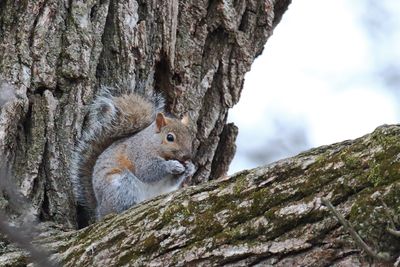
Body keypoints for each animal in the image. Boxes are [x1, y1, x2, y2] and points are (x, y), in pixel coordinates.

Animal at [70, 88, 195, 222]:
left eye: (190, 137)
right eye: (170, 137)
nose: (187, 157)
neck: (152, 143)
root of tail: (99, 211)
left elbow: (170, 182)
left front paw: (190, 168)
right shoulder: (139, 155)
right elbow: (148, 171)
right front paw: (172, 166)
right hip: (122, 186)